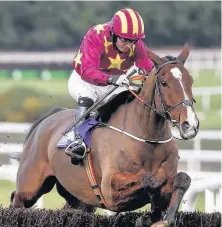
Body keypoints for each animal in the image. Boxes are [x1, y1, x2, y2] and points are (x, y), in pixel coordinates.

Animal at [10, 43, 199, 226]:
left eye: (190, 80)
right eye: (164, 82)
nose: (190, 125)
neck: (148, 139)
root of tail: (48, 119)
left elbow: (182, 179)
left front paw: (160, 216)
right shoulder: (110, 192)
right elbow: (150, 180)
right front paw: (149, 215)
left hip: (77, 197)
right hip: (30, 187)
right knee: (17, 199)